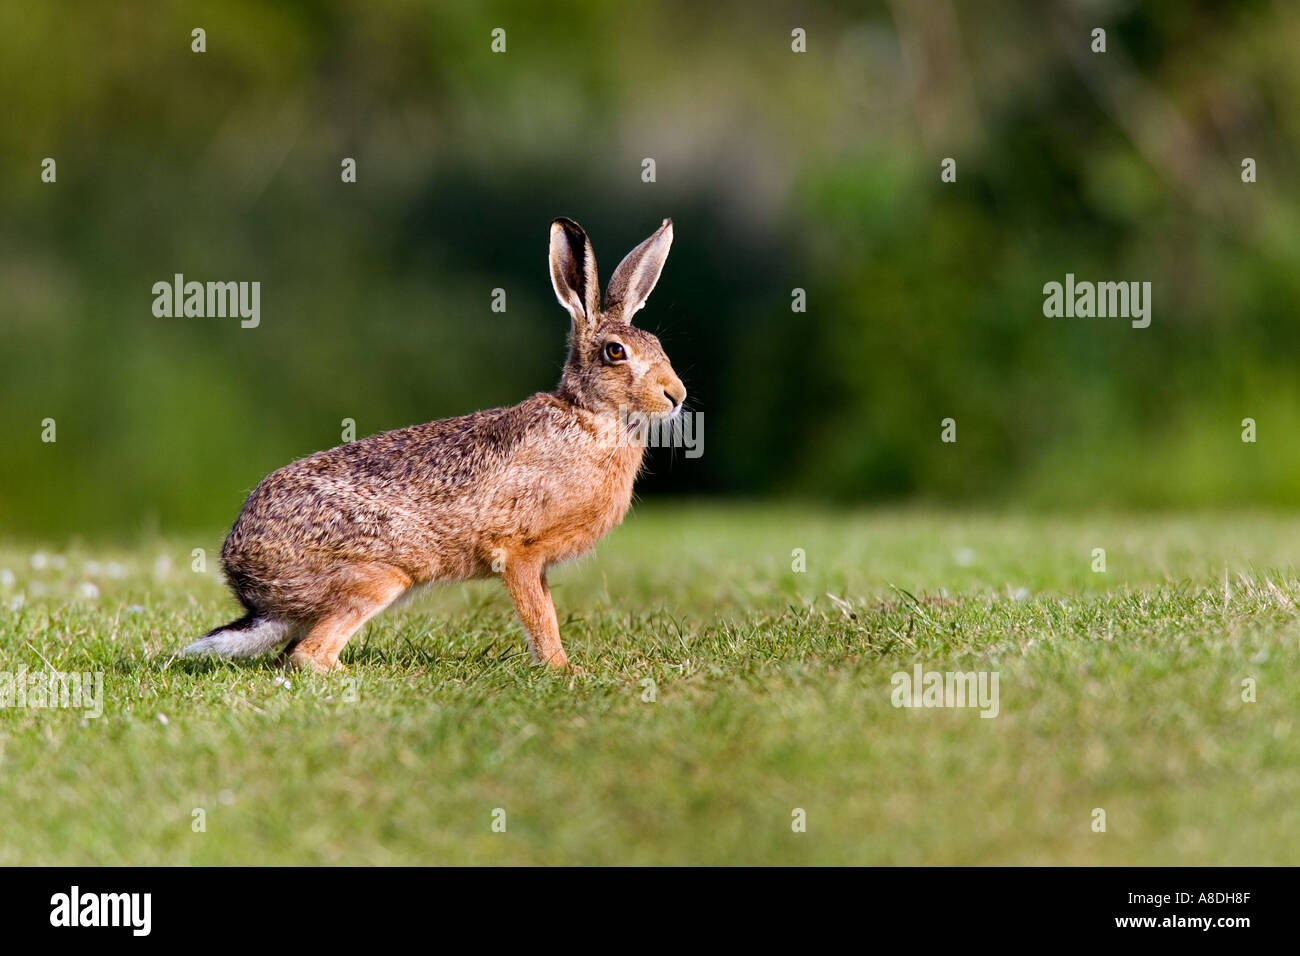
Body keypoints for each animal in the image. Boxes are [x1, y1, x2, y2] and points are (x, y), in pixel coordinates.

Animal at [183, 217, 685, 673]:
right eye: (615, 352)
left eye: (658, 344)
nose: (676, 395)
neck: (589, 418)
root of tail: (247, 579)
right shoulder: (517, 552)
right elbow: (541, 617)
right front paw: (563, 670)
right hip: (381, 574)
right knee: (308, 656)